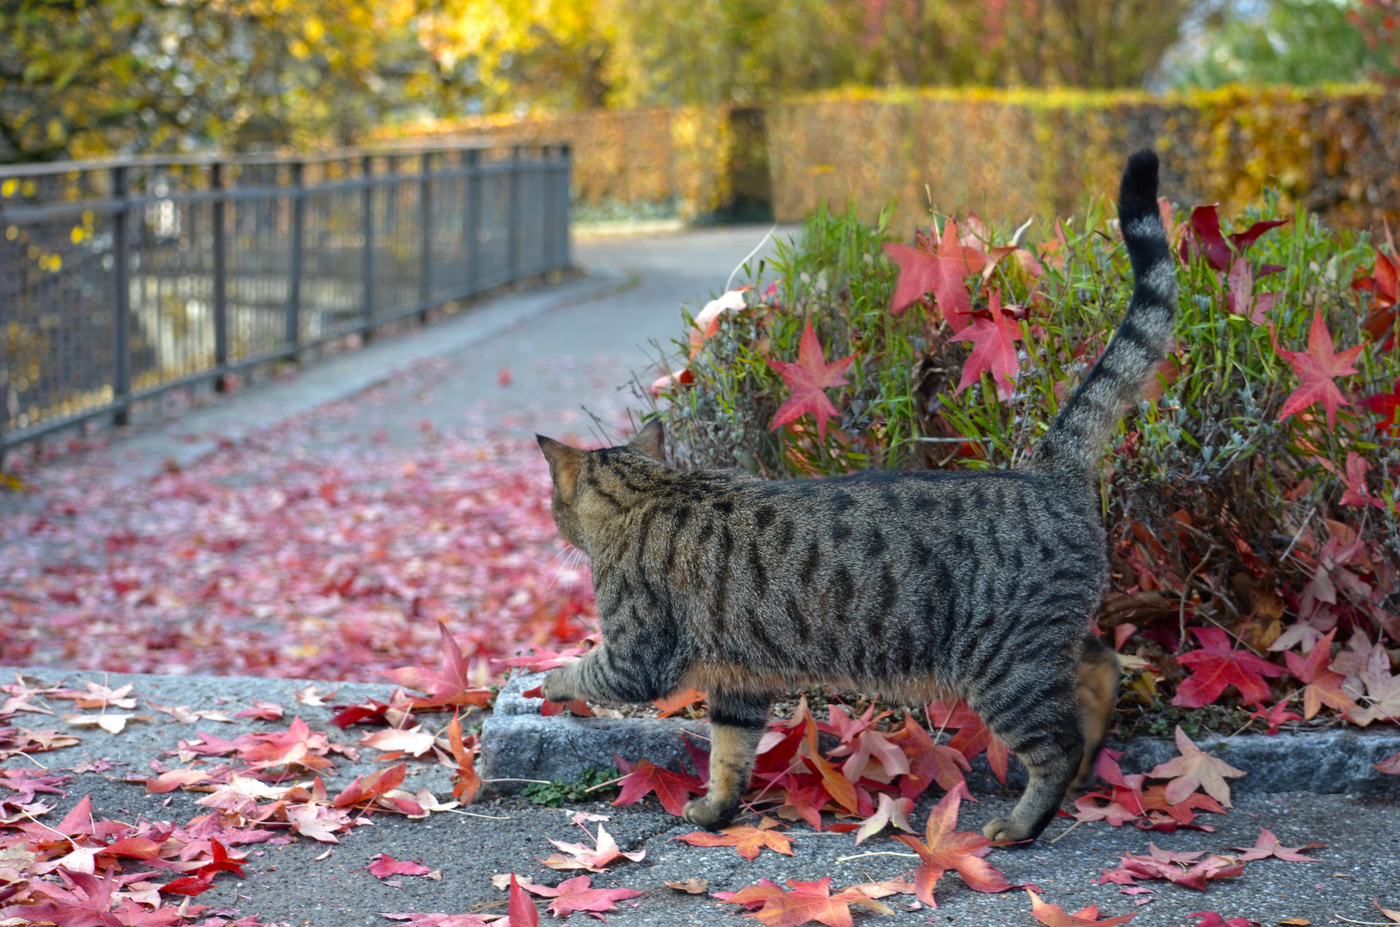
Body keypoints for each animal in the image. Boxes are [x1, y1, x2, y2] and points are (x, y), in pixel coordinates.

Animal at [540, 149, 1176, 845]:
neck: (650, 490)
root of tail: (1045, 471)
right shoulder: (739, 682)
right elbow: (729, 754)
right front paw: (716, 811)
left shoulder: (637, 655)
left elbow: (586, 669)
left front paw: (550, 683)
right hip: (1040, 643)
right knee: (1103, 668)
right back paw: (1091, 761)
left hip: (1007, 667)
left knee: (1056, 745)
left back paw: (1020, 824)